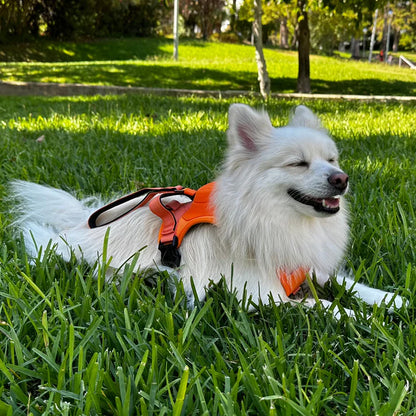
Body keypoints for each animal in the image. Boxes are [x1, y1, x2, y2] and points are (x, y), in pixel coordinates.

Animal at [11, 103, 404, 316]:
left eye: (332, 160)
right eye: (298, 164)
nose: (342, 179)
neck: (279, 219)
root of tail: (83, 223)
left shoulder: (306, 265)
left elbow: (348, 283)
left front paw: (391, 300)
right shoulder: (262, 295)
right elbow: (328, 306)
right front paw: (368, 319)